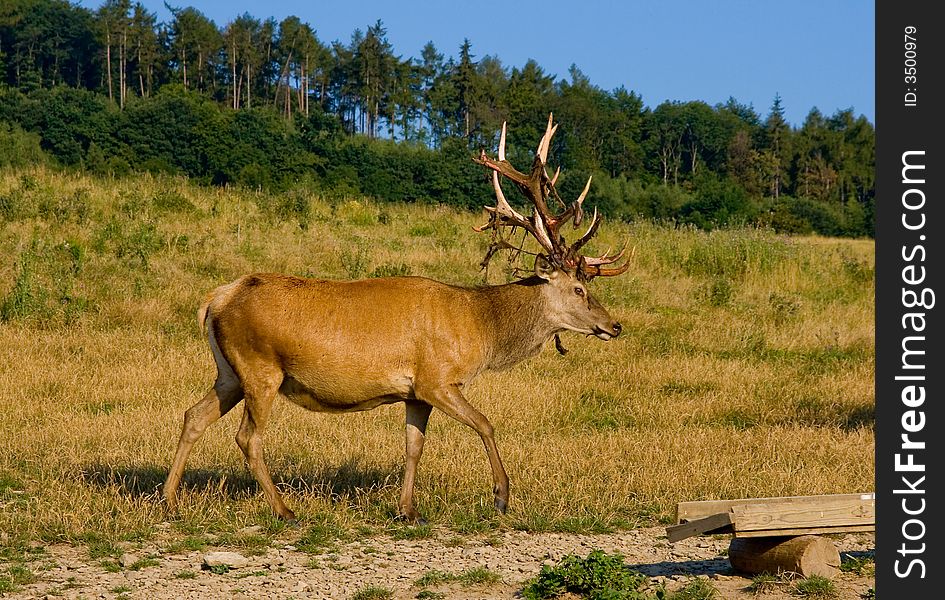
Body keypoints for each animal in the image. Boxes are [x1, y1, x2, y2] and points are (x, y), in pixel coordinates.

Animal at [161, 115, 632, 524]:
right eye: (579, 289)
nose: (614, 326)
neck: (479, 327)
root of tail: (216, 299)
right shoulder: (437, 378)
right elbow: (485, 423)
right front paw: (501, 497)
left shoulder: (415, 393)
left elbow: (414, 446)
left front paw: (407, 510)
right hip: (260, 367)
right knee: (248, 437)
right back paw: (283, 510)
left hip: (230, 371)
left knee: (193, 415)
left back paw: (170, 501)